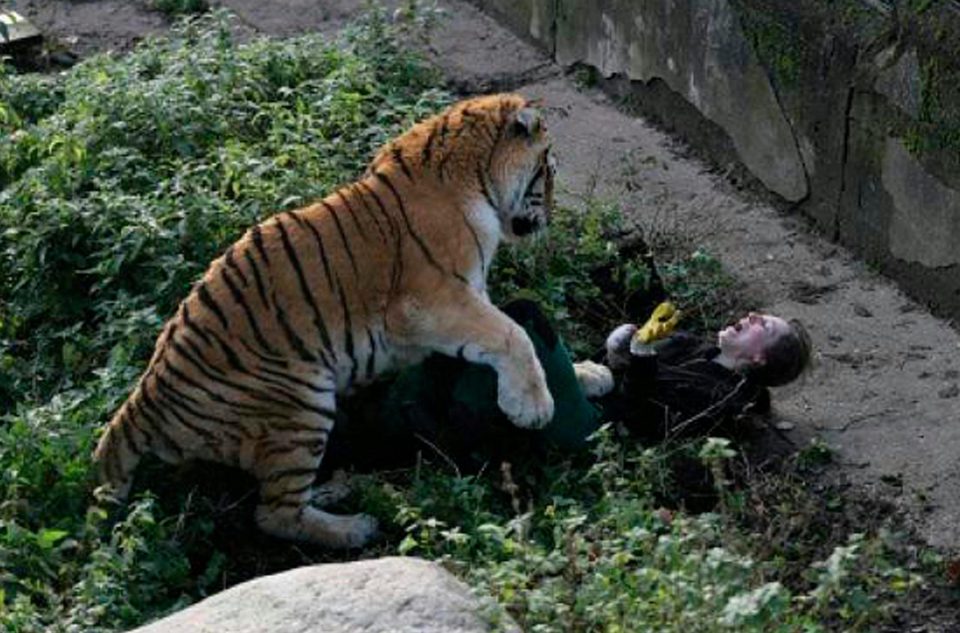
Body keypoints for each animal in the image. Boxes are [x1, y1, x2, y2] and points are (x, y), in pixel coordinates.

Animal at [94, 94, 560, 548]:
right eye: (549, 172)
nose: (551, 219)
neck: (477, 176)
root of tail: (142, 402)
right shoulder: (430, 301)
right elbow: (512, 334)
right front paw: (533, 408)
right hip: (301, 402)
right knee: (274, 514)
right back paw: (356, 528)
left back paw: (337, 489)